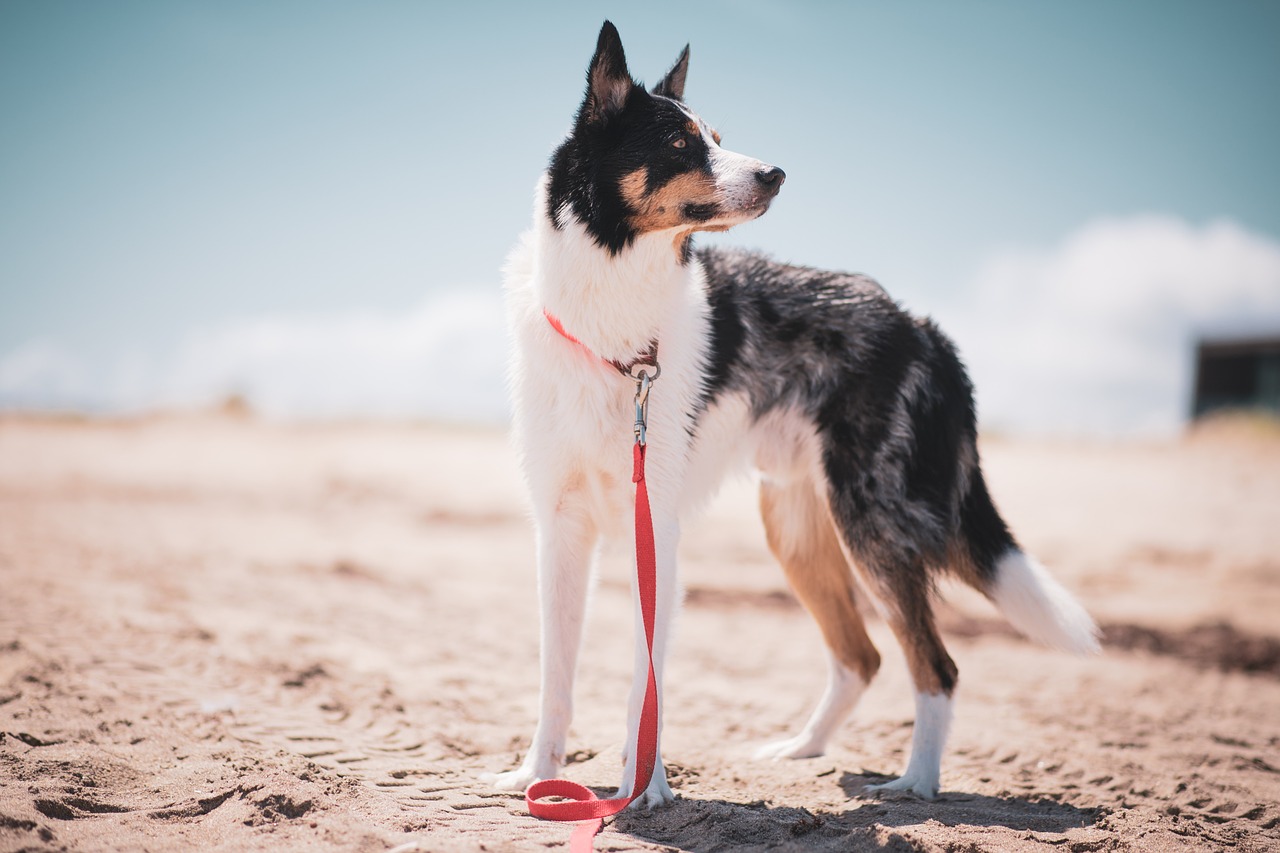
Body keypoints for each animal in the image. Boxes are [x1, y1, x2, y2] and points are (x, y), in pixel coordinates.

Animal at [488, 19, 1100, 804]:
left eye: (718, 136)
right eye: (680, 144)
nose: (776, 173)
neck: (614, 322)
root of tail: (918, 323)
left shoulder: (657, 531)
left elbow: (643, 682)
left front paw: (644, 787)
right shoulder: (561, 530)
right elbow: (554, 675)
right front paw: (538, 773)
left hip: (874, 522)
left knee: (934, 665)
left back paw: (916, 783)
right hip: (800, 528)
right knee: (862, 656)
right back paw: (802, 748)